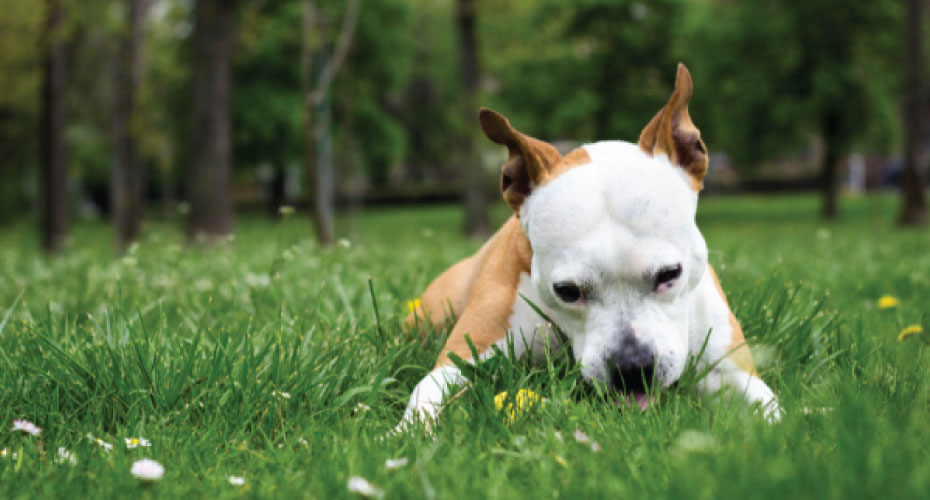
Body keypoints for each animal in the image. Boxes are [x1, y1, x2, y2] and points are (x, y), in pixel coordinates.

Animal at [396, 63, 780, 430]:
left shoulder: (731, 370)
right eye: (567, 291)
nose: (632, 367)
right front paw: (406, 434)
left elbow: (771, 414)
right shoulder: (463, 357)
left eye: (670, 274)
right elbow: (425, 393)